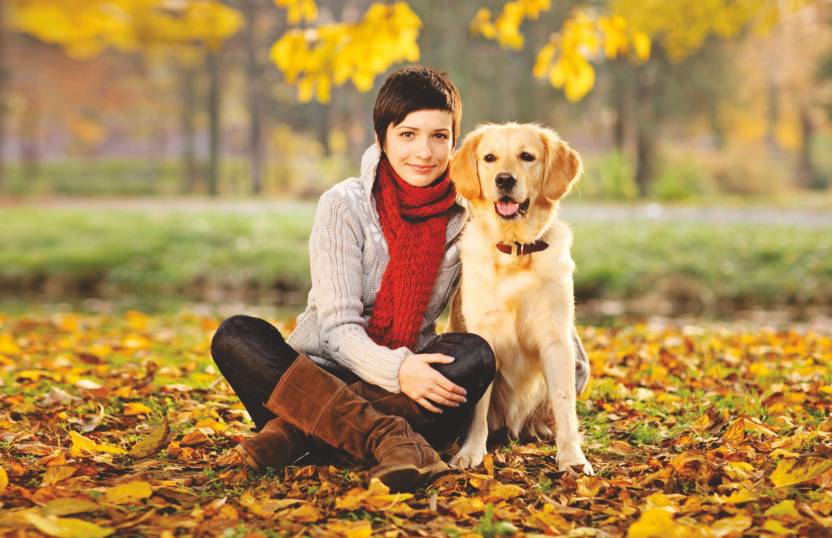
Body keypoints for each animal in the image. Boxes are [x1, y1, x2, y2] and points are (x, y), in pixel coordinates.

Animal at [448, 122, 592, 474]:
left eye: (527, 157)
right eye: (489, 158)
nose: (504, 179)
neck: (515, 251)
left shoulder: (556, 338)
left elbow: (566, 407)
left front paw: (573, 459)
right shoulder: (483, 335)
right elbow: (478, 410)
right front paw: (471, 452)